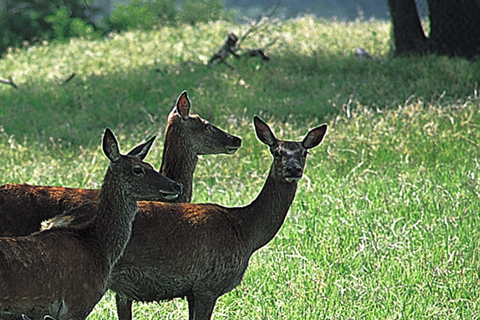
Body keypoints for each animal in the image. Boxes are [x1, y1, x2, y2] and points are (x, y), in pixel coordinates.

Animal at [103, 117, 328, 320]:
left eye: (304, 152)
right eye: (276, 152)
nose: (293, 169)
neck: (245, 232)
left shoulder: (192, 291)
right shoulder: (207, 285)